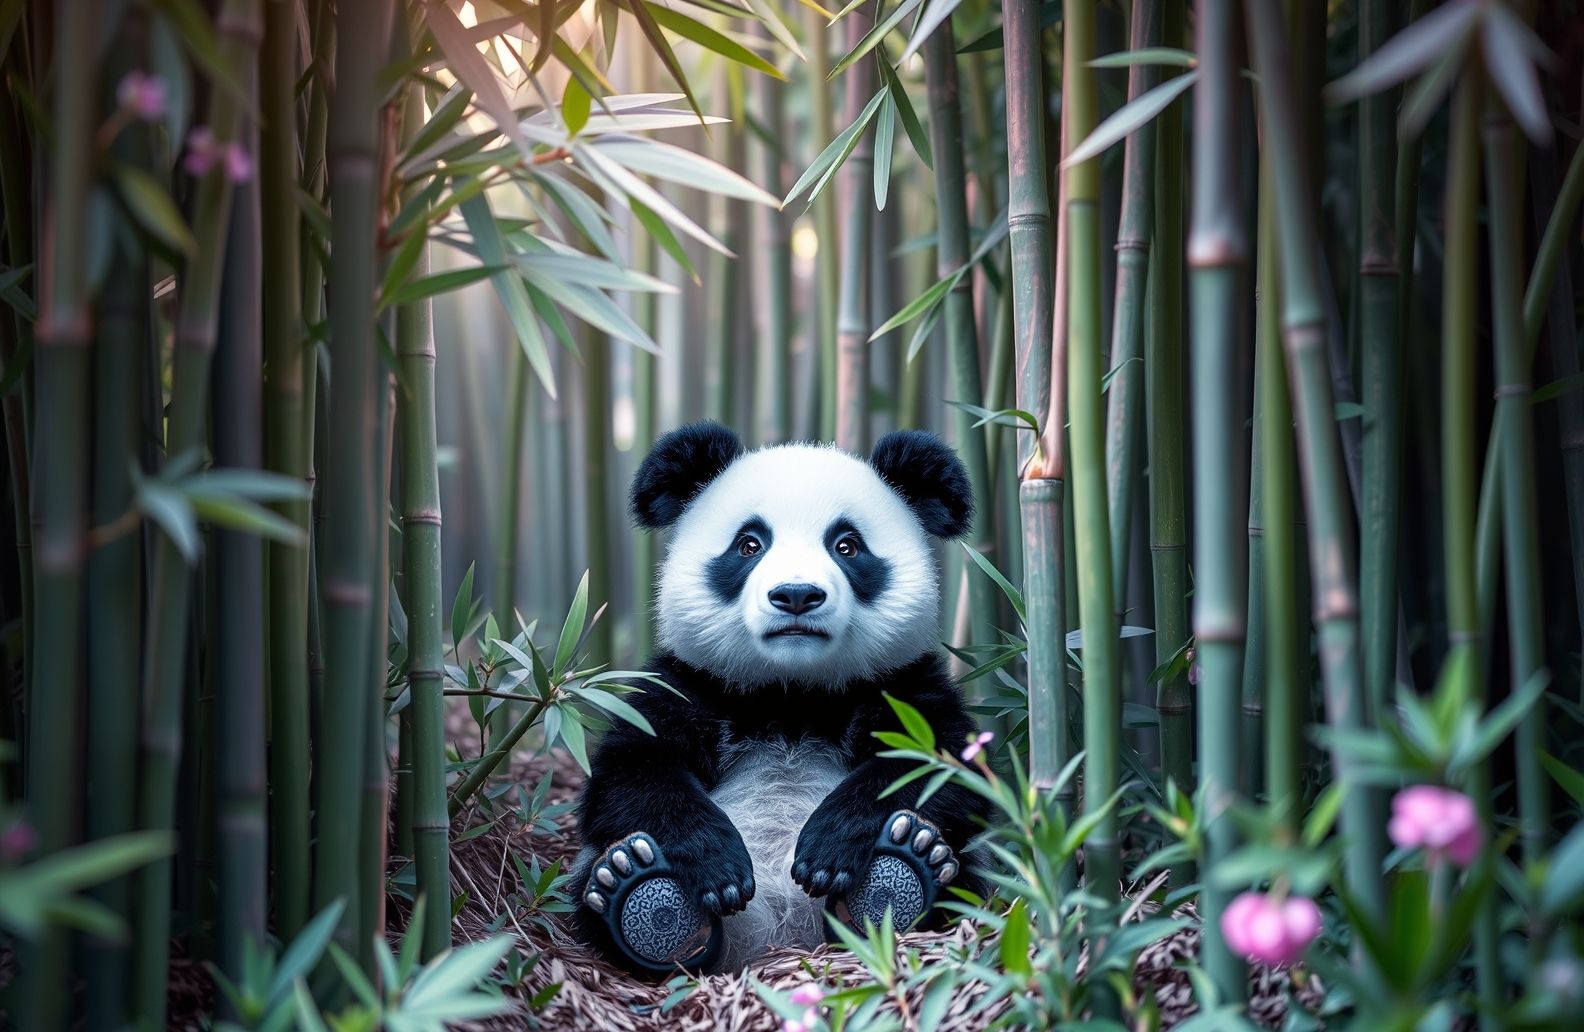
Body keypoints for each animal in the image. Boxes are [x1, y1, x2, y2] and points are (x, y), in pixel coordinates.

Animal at [574, 421, 988, 974]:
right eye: (749, 544)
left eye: (847, 546)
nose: (796, 594)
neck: (790, 695)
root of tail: (776, 939)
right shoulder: (687, 683)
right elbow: (631, 772)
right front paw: (716, 864)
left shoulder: (902, 685)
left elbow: (940, 765)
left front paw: (829, 849)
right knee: (592, 886)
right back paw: (635, 888)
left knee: (969, 876)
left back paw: (908, 864)